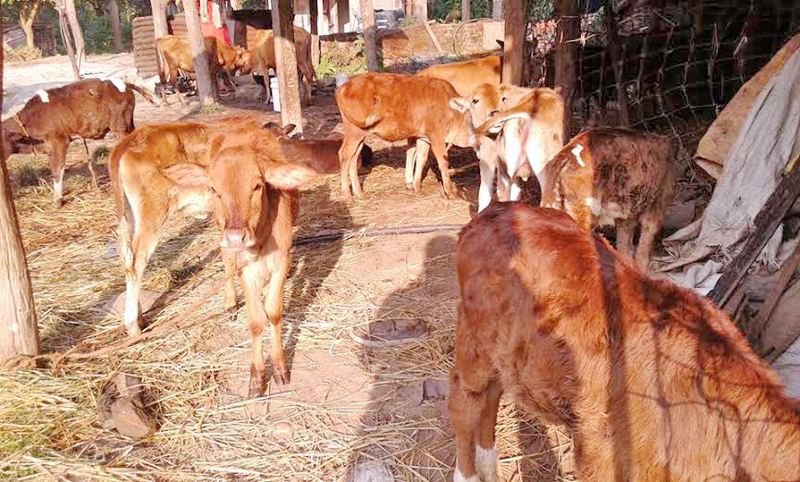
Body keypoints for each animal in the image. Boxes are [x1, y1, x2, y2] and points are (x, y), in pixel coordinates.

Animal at [1, 78, 158, 207]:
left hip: (120, 127)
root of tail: (123, 83)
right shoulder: (49, 148)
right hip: (128, 125)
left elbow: (57, 171)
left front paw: (58, 200)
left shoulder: (59, 142)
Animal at [109, 115, 322, 396]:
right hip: (151, 216)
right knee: (136, 264)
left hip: (130, 217)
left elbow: (271, 308)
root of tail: (125, 143)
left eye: (257, 186)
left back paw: (141, 317)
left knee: (127, 261)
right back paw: (133, 325)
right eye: (214, 188)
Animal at [335, 72, 471, 201]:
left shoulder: (424, 138)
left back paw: (359, 193)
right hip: (354, 132)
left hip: (360, 136)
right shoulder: (436, 135)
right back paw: (347, 195)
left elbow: (421, 159)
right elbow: (443, 162)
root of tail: (346, 85)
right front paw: (451, 192)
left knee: (353, 158)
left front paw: (417, 187)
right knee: (344, 155)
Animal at [450, 202, 800, 482]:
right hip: (473, 341)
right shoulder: (603, 453)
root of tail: (498, 209)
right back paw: (467, 474)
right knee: (464, 402)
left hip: (506, 354)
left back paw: (489, 467)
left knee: (492, 393)